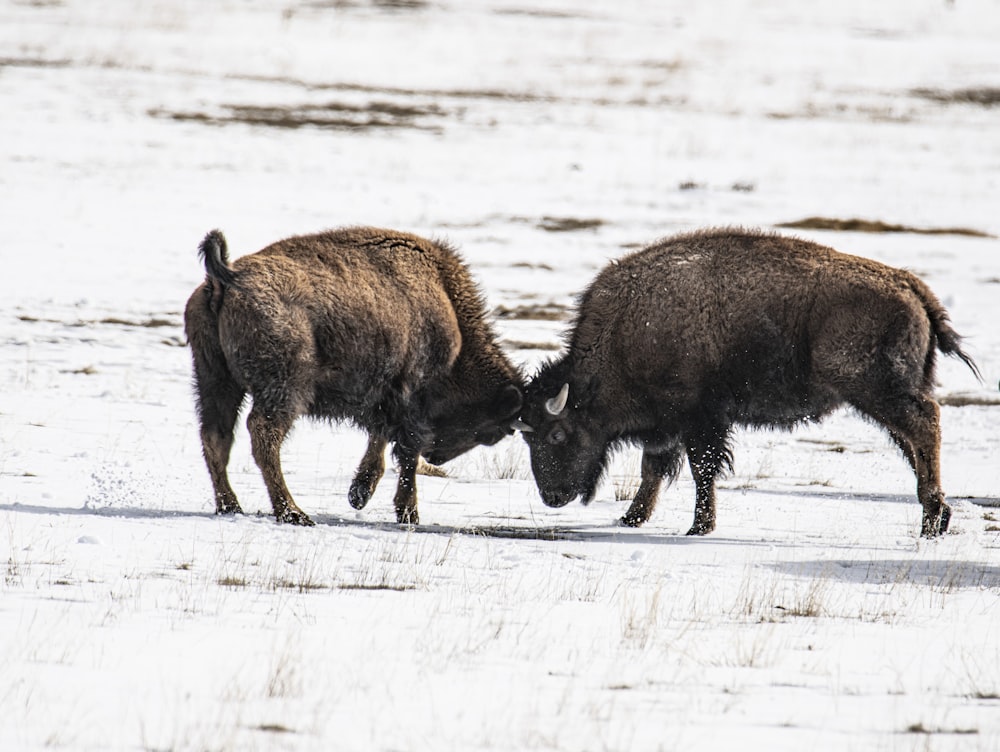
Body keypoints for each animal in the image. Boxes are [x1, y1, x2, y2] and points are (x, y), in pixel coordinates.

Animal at [186, 226, 524, 524]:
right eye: (490, 430)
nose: (436, 456)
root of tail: (226, 278)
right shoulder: (410, 401)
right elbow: (406, 455)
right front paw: (408, 514)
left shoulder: (386, 400)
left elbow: (381, 441)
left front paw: (359, 494)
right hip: (285, 388)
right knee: (262, 435)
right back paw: (293, 513)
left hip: (214, 380)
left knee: (215, 436)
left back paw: (231, 507)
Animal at [520, 226, 980, 536]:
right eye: (527, 436)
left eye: (557, 434)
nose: (552, 497)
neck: (627, 331)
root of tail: (911, 286)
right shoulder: (669, 424)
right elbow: (653, 468)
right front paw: (631, 518)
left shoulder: (700, 418)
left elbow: (701, 469)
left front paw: (699, 527)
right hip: (883, 397)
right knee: (913, 442)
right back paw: (937, 517)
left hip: (876, 389)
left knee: (925, 426)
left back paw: (931, 519)